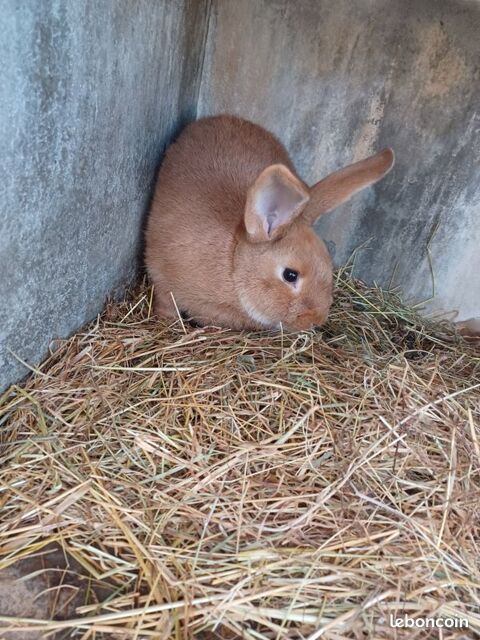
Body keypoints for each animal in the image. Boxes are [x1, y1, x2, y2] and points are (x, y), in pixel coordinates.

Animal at [145, 115, 394, 331]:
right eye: (290, 275)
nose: (316, 319)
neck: (233, 263)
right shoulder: (161, 273)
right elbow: (166, 300)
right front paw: (167, 320)